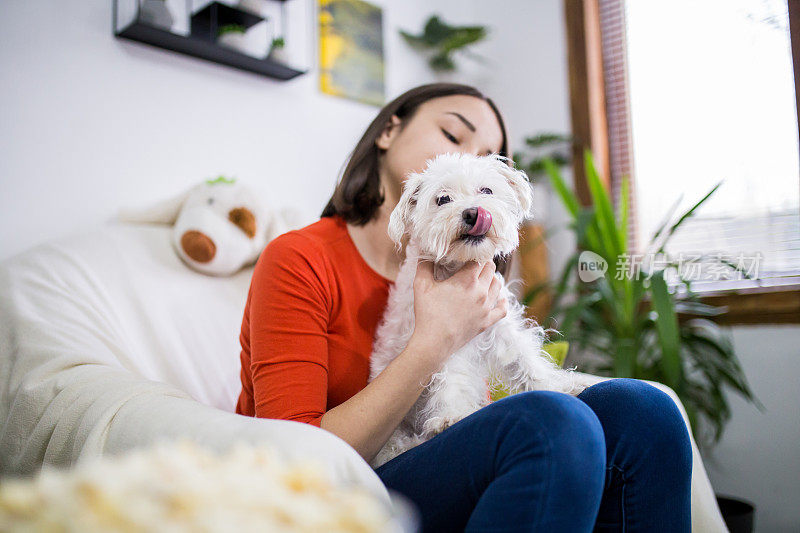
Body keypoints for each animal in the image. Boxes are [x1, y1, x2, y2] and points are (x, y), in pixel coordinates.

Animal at [368, 152, 588, 468]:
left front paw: (555, 386)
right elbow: (450, 378)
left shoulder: (502, 328)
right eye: (443, 199)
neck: (459, 268)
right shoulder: (442, 337)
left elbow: (525, 360)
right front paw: (450, 417)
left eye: (486, 190)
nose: (473, 213)